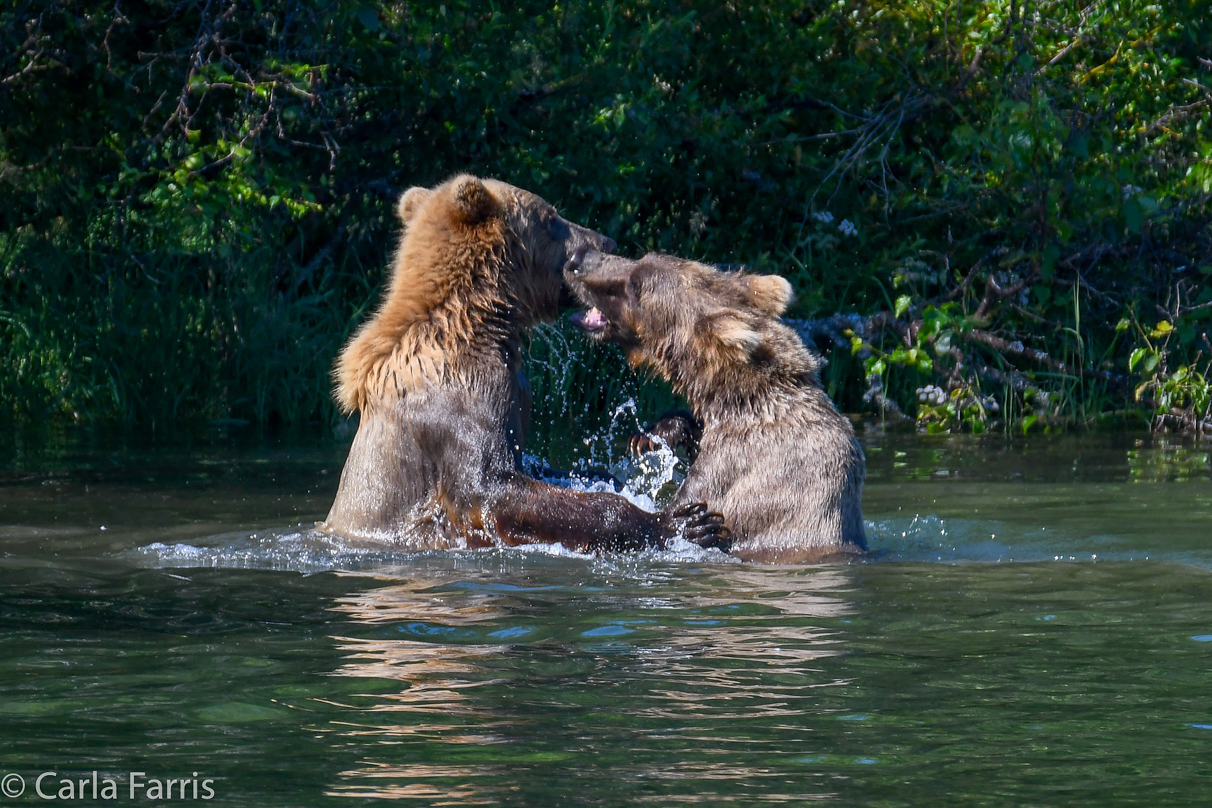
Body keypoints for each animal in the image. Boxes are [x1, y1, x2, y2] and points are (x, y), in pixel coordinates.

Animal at [317, 175, 727, 557]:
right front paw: (682, 522)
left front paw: (651, 439)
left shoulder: (515, 389)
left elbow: (531, 465)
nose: (606, 241)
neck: (482, 320)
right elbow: (489, 486)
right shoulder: (460, 399)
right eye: (550, 217)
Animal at [562, 249, 867, 566]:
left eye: (637, 285)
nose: (578, 258)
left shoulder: (737, 471)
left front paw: (687, 525)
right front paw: (653, 435)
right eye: (643, 259)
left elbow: (694, 505)